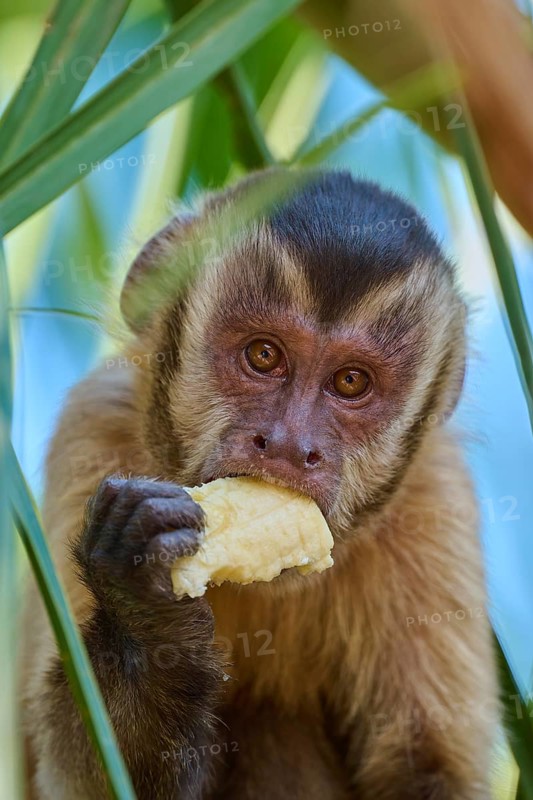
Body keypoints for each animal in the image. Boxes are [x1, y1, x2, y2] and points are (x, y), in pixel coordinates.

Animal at [21, 168, 498, 799]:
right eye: (264, 355)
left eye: (351, 382)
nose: (291, 445)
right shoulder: (93, 428)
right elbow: (73, 772)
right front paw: (144, 617)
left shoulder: (436, 496)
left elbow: (428, 769)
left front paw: (144, 605)